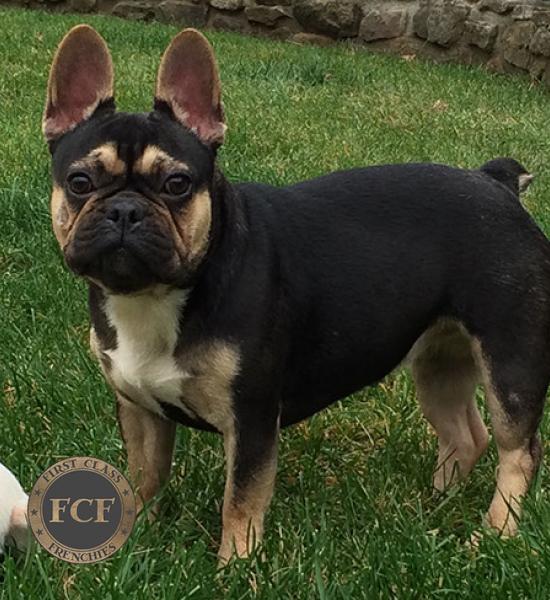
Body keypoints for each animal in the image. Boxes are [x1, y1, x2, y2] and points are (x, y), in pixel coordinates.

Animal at [43, 25, 550, 562]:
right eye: (79, 181)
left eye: (177, 183)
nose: (124, 210)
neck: (152, 297)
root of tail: (497, 184)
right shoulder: (138, 407)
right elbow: (143, 479)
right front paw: (129, 542)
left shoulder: (251, 421)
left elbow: (240, 501)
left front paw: (235, 566)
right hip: (440, 361)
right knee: (465, 434)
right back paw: (435, 509)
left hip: (511, 361)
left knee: (519, 450)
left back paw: (494, 534)